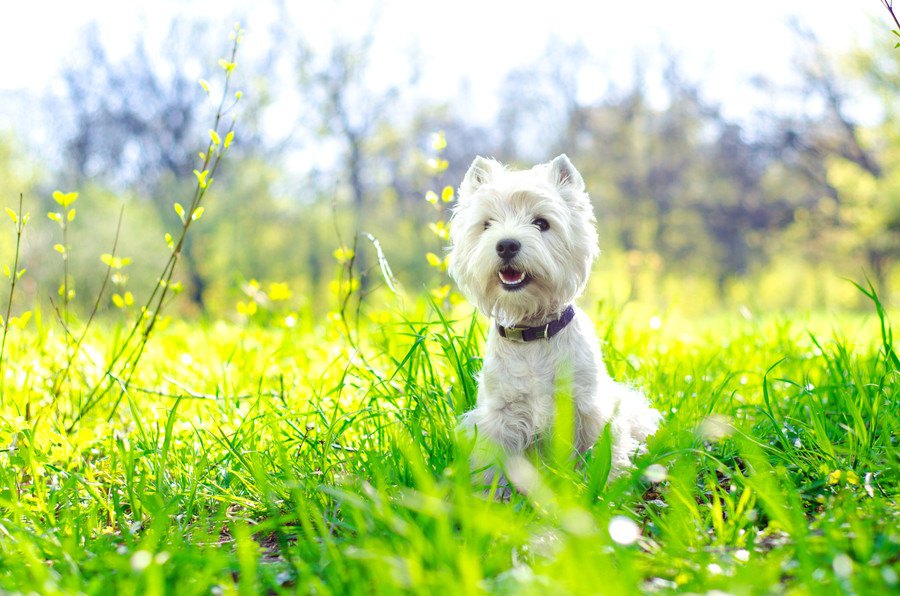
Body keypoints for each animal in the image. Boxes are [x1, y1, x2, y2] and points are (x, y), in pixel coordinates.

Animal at [450, 155, 660, 484]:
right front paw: (488, 493)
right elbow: (492, 466)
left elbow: (602, 453)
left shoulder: (588, 408)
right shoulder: (499, 416)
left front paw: (607, 485)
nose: (506, 245)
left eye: (541, 223)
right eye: (487, 224)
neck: (532, 331)